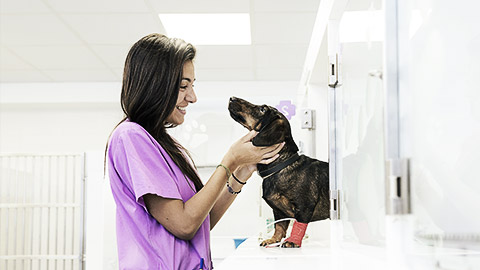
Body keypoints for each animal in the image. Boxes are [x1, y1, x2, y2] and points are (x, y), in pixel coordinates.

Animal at [227, 96, 328, 248]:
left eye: (263, 109)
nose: (231, 98)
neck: (281, 166)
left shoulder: (304, 206)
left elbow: (299, 224)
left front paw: (292, 241)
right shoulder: (278, 211)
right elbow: (279, 226)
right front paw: (273, 240)